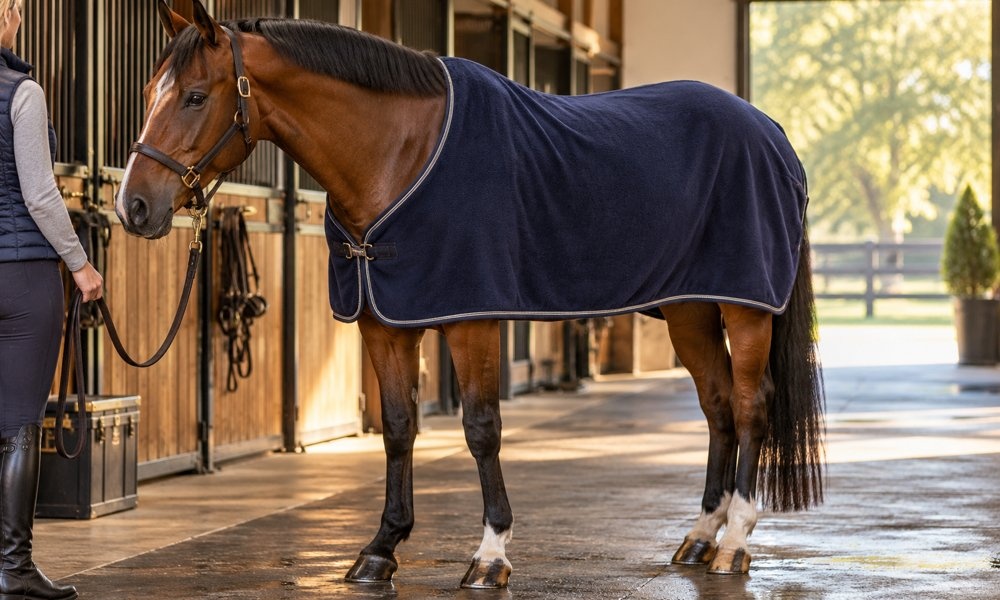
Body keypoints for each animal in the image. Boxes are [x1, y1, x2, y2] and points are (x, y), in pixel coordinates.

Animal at [114, 0, 824, 588]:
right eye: (151, 91)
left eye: (195, 96)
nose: (134, 206)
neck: (398, 152)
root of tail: (769, 130)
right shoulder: (384, 321)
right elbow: (399, 428)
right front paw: (380, 550)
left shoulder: (469, 318)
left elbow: (482, 429)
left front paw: (490, 556)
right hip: (690, 308)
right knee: (717, 407)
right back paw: (700, 537)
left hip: (745, 309)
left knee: (750, 405)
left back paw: (735, 542)